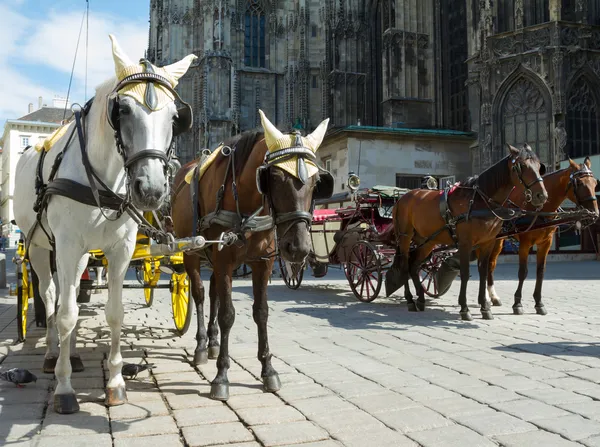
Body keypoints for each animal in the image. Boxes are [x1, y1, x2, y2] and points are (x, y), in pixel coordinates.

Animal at [14, 34, 196, 412]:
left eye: (176, 117)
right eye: (122, 110)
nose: (151, 190)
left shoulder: (119, 250)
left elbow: (114, 314)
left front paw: (115, 382)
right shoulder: (67, 245)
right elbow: (65, 314)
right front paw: (64, 388)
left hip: (78, 253)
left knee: (66, 292)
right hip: (39, 246)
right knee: (50, 297)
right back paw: (52, 354)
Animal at [171, 110, 336, 400]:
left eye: (317, 182)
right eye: (275, 178)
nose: (298, 248)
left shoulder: (263, 262)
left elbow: (261, 312)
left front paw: (268, 369)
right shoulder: (224, 261)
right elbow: (227, 314)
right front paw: (221, 376)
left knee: (213, 293)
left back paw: (213, 342)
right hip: (190, 252)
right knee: (200, 294)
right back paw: (201, 346)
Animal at [390, 145, 548, 320]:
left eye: (539, 166)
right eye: (522, 166)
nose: (542, 195)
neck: (480, 200)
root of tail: (402, 198)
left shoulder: (487, 242)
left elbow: (483, 272)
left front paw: (485, 307)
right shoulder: (466, 243)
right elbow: (465, 273)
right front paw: (465, 308)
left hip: (427, 241)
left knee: (414, 266)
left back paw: (421, 299)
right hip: (405, 237)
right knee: (405, 265)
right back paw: (410, 300)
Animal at [486, 158, 596, 316]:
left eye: (595, 183)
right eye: (579, 183)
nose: (594, 213)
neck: (540, 209)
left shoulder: (546, 243)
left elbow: (540, 272)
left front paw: (539, 303)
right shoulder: (525, 243)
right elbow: (523, 272)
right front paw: (517, 303)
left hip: (498, 240)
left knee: (490, 264)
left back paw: (492, 296)